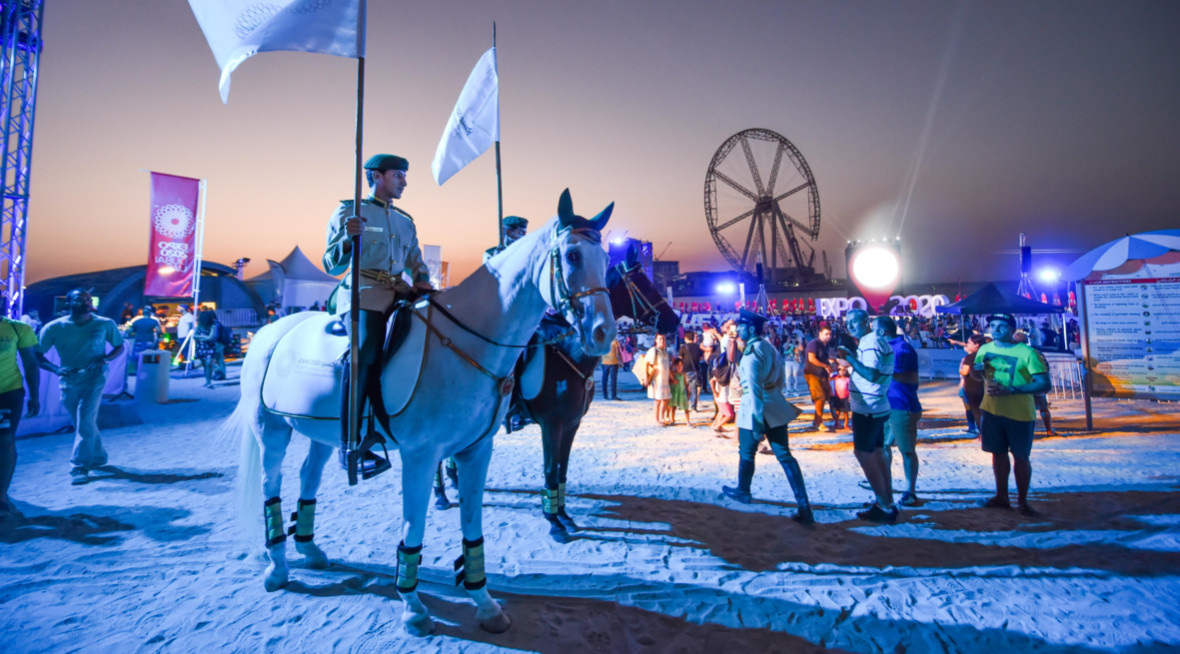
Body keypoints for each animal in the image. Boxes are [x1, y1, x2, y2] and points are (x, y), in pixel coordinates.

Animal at [225, 189, 615, 637]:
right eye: (571, 255)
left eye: (607, 260)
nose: (604, 332)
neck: (470, 340)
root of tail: (269, 332)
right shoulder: (422, 454)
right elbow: (414, 526)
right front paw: (412, 607)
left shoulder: (477, 451)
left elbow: (473, 526)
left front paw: (484, 603)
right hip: (270, 428)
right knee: (270, 484)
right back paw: (277, 567)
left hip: (320, 432)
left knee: (309, 475)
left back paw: (310, 551)